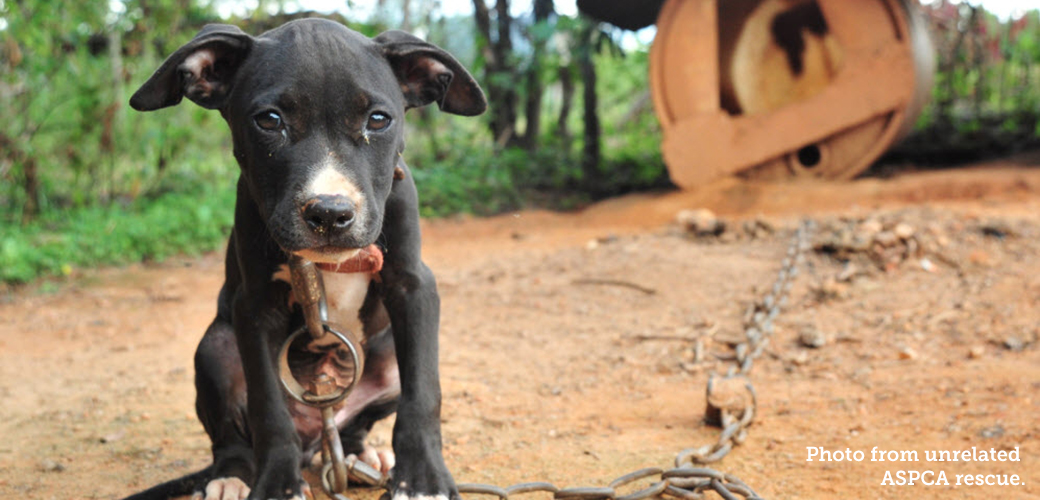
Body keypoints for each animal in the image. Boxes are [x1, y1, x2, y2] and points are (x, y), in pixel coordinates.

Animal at [124, 18, 486, 498]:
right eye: (269, 120)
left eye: (378, 119)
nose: (330, 213)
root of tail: (315, 435)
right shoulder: (255, 306)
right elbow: (267, 408)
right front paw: (278, 483)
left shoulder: (413, 286)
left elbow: (423, 391)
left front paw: (424, 475)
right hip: (216, 349)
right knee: (233, 440)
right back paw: (232, 477)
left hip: (386, 357)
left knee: (354, 426)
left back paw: (358, 458)